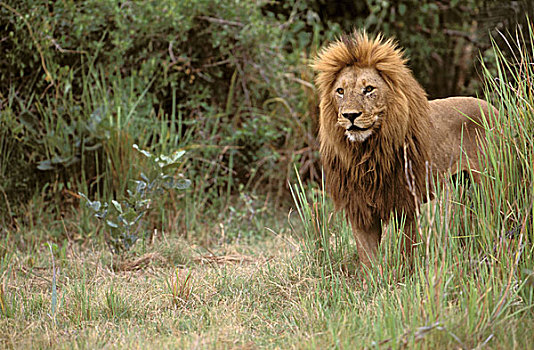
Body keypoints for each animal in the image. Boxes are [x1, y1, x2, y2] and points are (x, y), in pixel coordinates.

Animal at [312, 31, 496, 266]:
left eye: (369, 89)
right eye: (340, 91)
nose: (350, 115)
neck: (366, 154)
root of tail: (493, 108)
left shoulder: (406, 203)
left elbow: (405, 252)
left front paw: (405, 273)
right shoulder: (360, 210)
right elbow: (369, 260)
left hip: (490, 183)